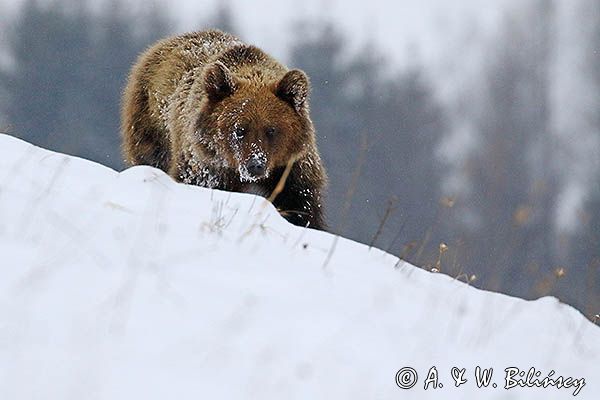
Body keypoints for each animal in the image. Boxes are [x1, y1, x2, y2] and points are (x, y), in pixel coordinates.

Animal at [122, 29, 328, 230]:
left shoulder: (291, 167)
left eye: (271, 130)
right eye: (240, 129)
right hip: (150, 123)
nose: (255, 165)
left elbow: (302, 206)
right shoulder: (208, 164)